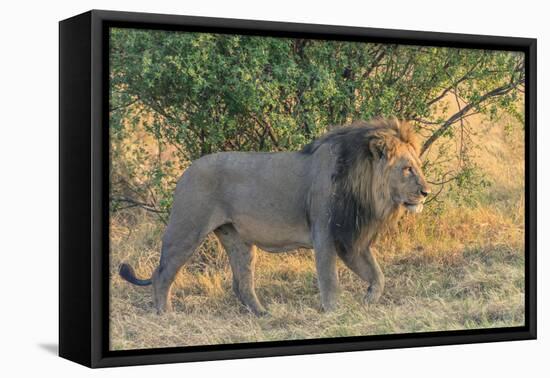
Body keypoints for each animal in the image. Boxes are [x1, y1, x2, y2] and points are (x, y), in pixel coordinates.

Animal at [119, 117, 432, 314]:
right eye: (407, 169)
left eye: (418, 165)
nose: (426, 191)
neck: (365, 188)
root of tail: (185, 171)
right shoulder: (326, 233)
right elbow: (329, 279)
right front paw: (334, 312)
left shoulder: (350, 238)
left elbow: (378, 275)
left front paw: (368, 301)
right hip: (187, 230)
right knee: (162, 274)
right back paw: (165, 314)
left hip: (237, 240)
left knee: (241, 284)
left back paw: (263, 314)